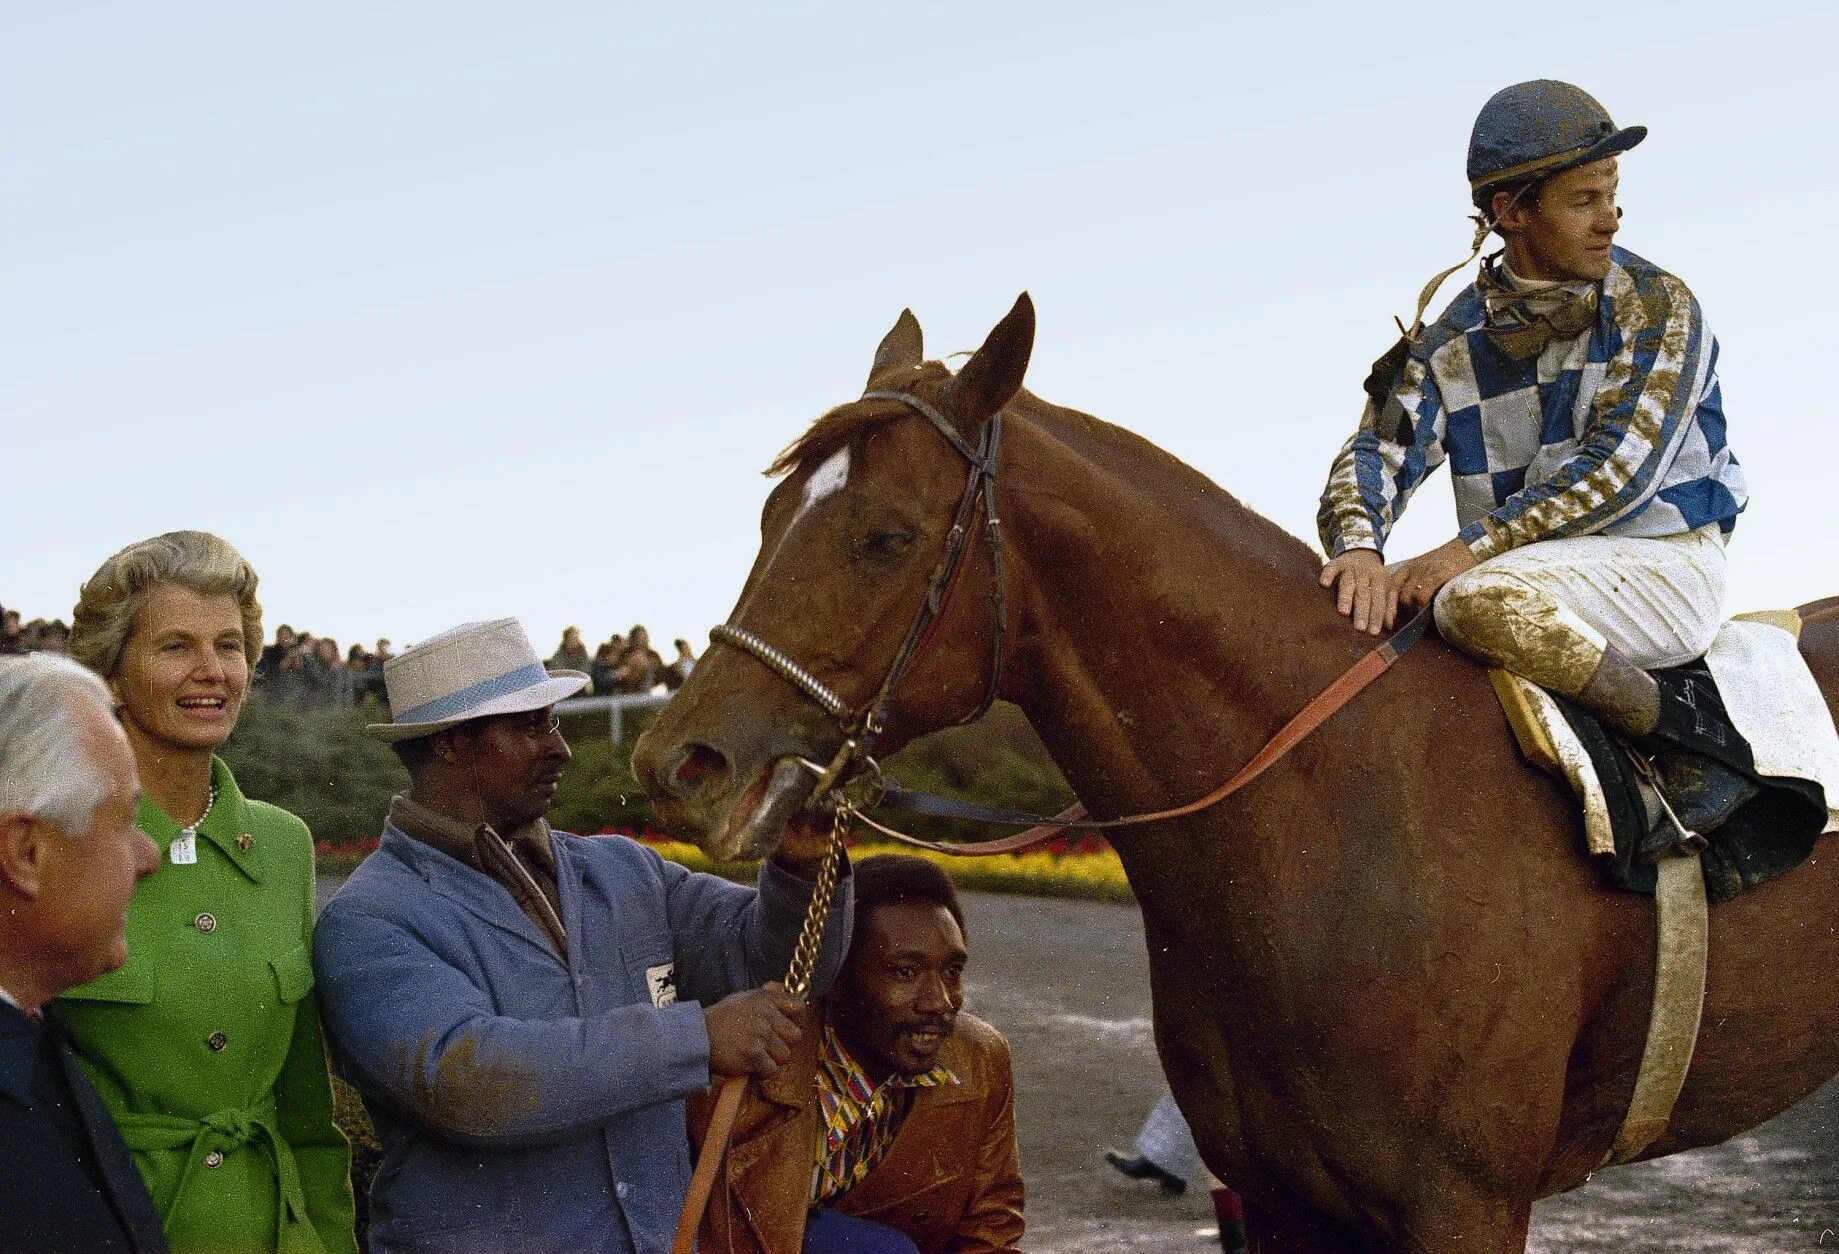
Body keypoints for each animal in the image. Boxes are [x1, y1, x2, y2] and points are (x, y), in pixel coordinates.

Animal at [632, 296, 1839, 1250]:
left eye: (883, 535)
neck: (1336, 816)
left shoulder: (1464, 1202)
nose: (680, 761)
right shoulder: (1278, 1194)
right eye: (771, 514)